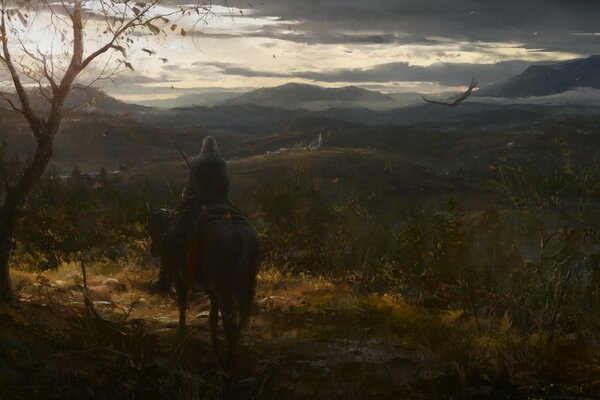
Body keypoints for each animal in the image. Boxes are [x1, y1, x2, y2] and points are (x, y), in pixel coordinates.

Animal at [148, 206, 260, 362]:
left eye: (151, 229)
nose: (153, 250)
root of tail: (238, 234)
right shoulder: (212, 291)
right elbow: (213, 318)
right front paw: (214, 351)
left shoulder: (180, 279)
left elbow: (182, 307)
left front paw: (180, 337)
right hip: (245, 284)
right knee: (241, 315)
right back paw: (235, 345)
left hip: (223, 287)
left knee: (230, 317)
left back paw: (230, 356)